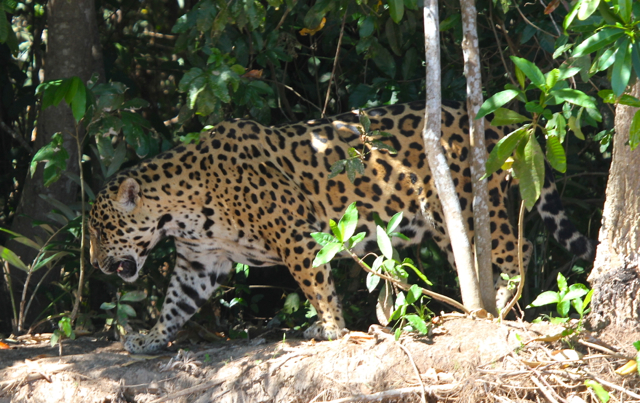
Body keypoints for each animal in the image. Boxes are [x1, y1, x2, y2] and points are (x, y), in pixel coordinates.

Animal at [88, 100, 594, 354]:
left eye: (100, 232)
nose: (94, 264)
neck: (180, 208)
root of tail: (486, 123)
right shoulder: (199, 261)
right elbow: (176, 303)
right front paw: (151, 338)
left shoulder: (293, 231)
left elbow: (315, 282)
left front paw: (330, 329)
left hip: (467, 207)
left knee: (516, 252)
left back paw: (505, 306)